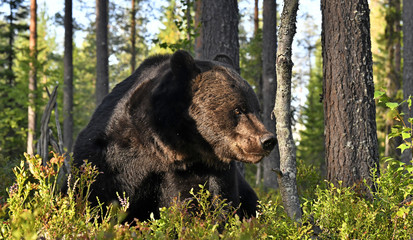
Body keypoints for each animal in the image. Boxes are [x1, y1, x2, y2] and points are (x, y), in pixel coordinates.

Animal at [72, 49, 276, 222]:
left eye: (257, 109)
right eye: (238, 110)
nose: (267, 140)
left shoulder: (200, 171)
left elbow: (211, 204)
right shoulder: (111, 157)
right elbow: (94, 193)